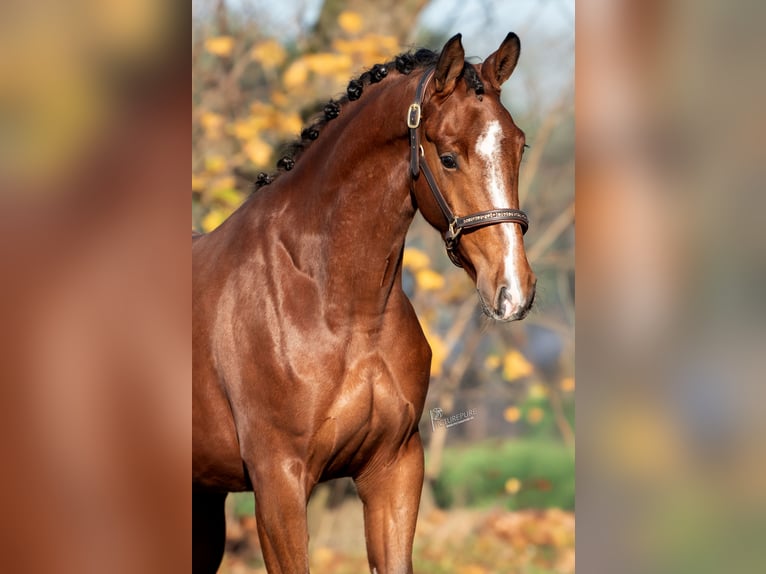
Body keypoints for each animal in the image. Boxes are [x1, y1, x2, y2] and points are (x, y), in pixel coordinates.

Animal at [192, 32, 536, 573]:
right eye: (449, 156)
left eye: (519, 146)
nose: (513, 290)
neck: (339, 308)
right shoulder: (278, 483)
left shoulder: (394, 468)